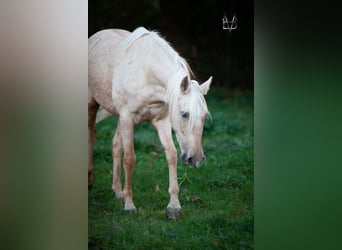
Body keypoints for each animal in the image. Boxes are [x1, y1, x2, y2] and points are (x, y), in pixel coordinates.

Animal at [88, 26, 211, 220]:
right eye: (184, 114)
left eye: (205, 116)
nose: (196, 160)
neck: (145, 72)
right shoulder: (127, 117)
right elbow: (130, 159)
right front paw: (129, 205)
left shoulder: (161, 121)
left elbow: (171, 155)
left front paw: (174, 207)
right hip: (93, 104)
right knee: (91, 135)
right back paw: (90, 181)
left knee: (116, 145)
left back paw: (117, 190)